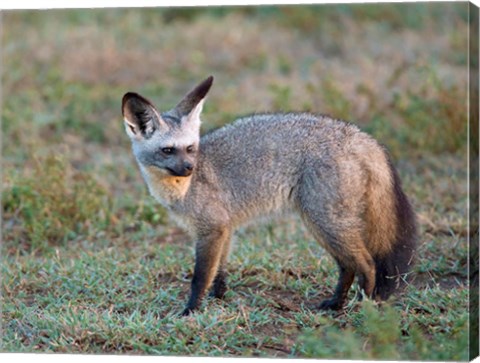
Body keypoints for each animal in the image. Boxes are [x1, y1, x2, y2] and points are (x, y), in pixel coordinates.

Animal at [122, 75, 418, 318]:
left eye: (190, 148)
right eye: (168, 150)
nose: (189, 169)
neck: (181, 189)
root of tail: (361, 137)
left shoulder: (211, 230)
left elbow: (200, 277)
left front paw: (191, 310)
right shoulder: (225, 229)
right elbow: (220, 272)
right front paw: (219, 299)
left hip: (325, 222)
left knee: (366, 264)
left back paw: (363, 305)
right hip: (324, 225)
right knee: (348, 266)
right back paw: (336, 303)